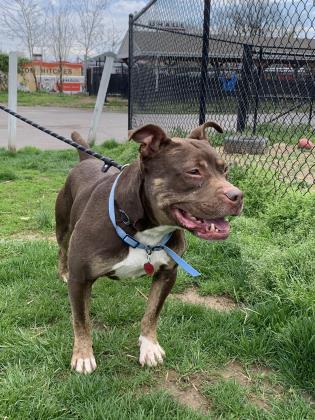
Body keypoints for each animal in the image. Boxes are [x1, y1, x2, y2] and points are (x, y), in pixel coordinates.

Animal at [55, 121, 243, 374]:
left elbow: (152, 313)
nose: (238, 195)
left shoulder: (167, 274)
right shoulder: (80, 279)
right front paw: (83, 356)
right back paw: (62, 271)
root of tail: (85, 161)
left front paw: (149, 346)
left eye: (225, 169)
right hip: (63, 228)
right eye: (194, 171)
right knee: (62, 250)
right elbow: (81, 320)